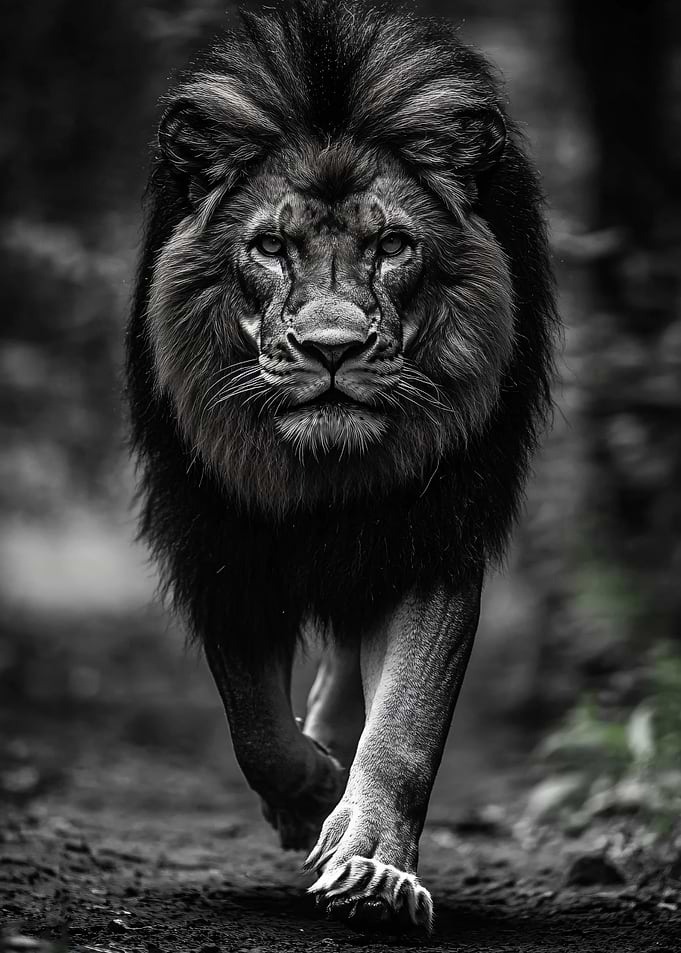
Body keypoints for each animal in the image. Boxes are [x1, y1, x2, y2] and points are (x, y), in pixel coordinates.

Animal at [126, 0, 557, 933]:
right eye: (269, 247)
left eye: (392, 244)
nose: (331, 348)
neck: (322, 474)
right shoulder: (222, 542)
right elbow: (254, 722)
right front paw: (309, 792)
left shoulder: (432, 536)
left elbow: (404, 727)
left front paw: (370, 863)